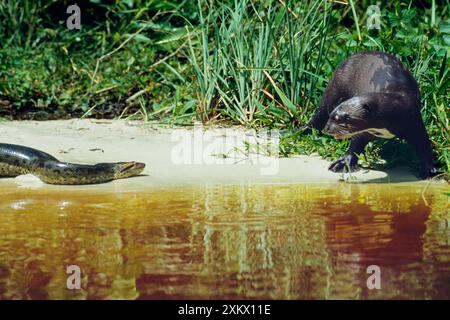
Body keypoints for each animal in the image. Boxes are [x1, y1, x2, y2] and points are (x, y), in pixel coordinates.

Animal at [302, 51, 440, 179]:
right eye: (332, 115)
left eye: (344, 116)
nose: (327, 128)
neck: (398, 103)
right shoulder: (365, 131)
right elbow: (355, 144)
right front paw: (344, 163)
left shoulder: (414, 121)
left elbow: (424, 145)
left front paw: (430, 171)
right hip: (334, 87)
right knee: (321, 110)